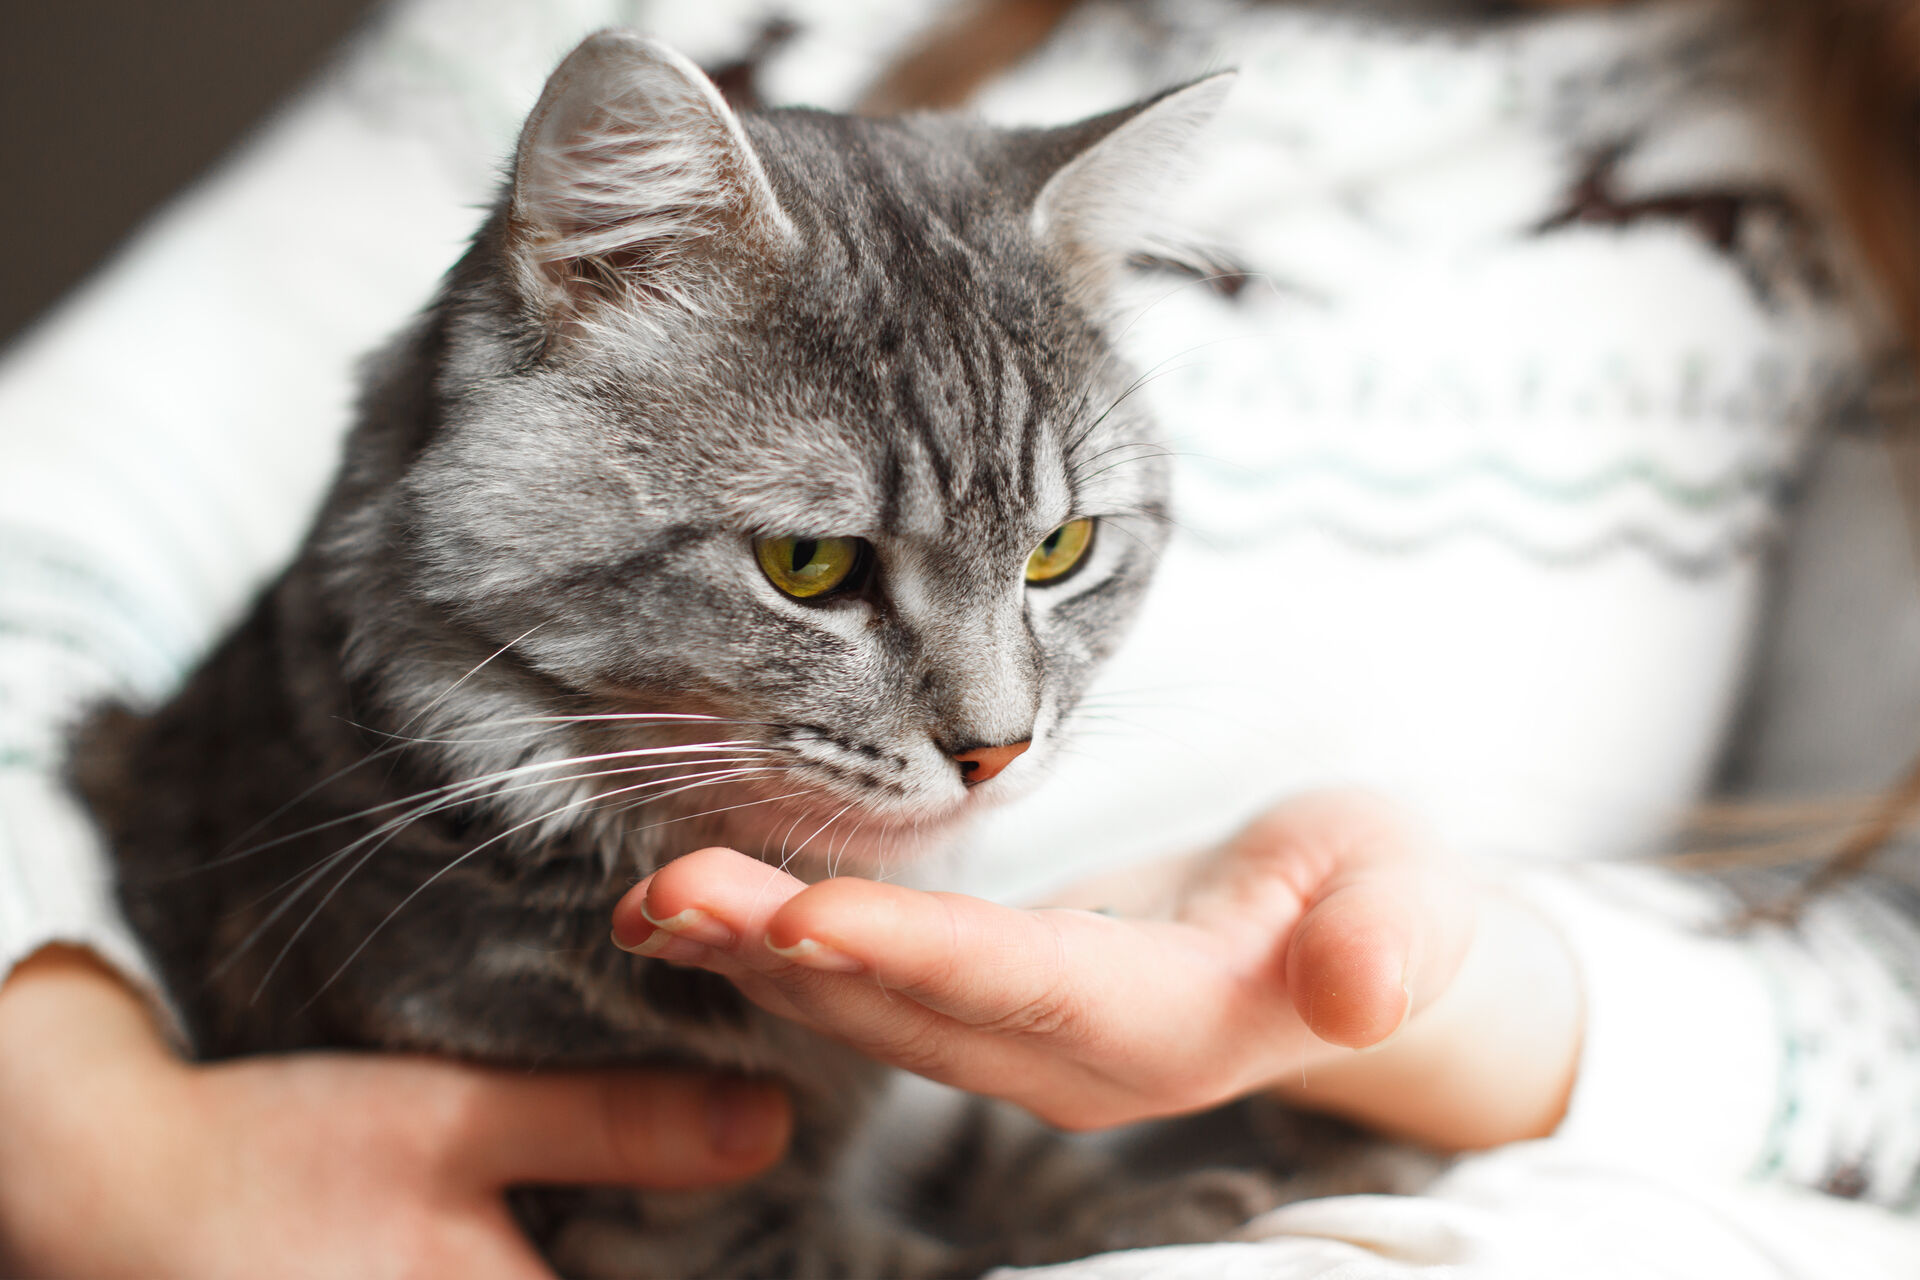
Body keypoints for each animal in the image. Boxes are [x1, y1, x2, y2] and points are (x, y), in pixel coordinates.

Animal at [74, 29, 1305, 1280]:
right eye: (808, 561)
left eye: (1060, 548)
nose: (997, 749)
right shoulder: (652, 1224)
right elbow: (921, 1258)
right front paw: (1192, 1212)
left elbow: (994, 1141)